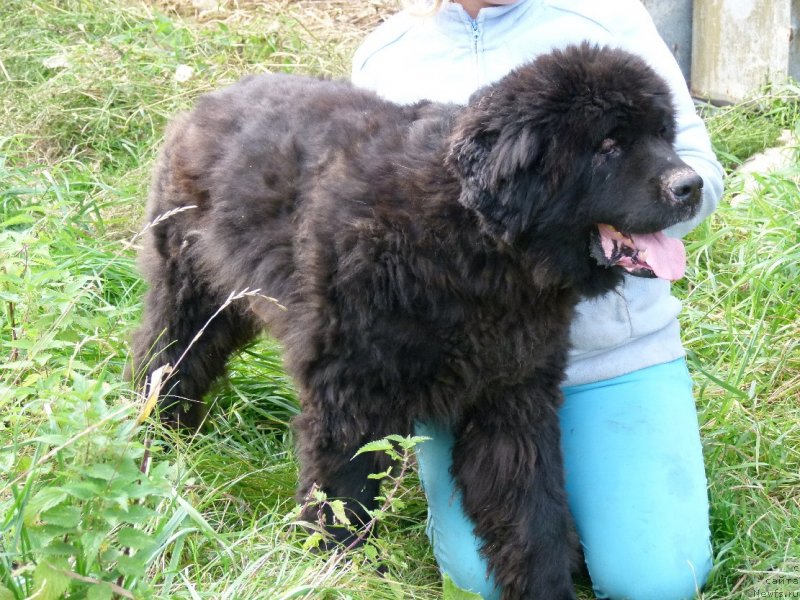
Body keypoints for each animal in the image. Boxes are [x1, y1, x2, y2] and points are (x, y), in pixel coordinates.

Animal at [134, 44, 704, 596]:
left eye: (662, 134)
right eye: (608, 145)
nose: (692, 185)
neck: (473, 243)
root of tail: (212, 100)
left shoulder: (512, 397)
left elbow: (530, 515)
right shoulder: (350, 397)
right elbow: (344, 499)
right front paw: (342, 574)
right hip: (191, 293)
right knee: (163, 359)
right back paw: (150, 440)